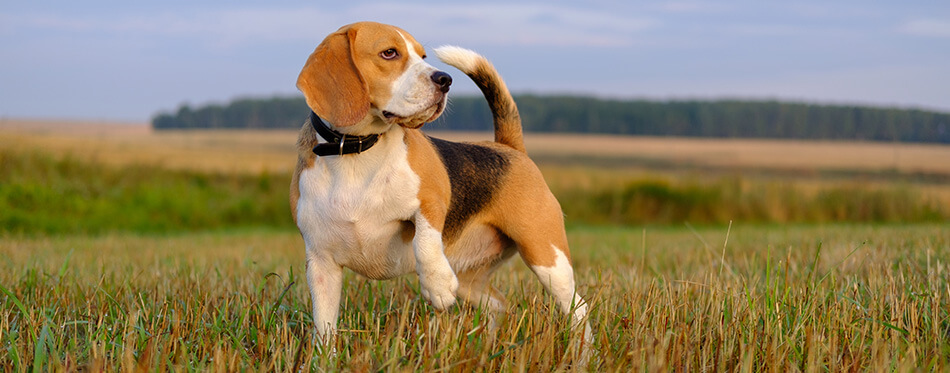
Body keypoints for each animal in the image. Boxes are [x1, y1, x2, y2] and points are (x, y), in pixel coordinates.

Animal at [290, 20, 592, 354]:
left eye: (422, 55)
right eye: (389, 53)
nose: (445, 80)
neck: (356, 152)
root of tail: (509, 147)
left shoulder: (432, 198)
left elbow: (425, 238)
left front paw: (435, 284)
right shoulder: (321, 264)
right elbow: (324, 327)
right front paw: (324, 358)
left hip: (546, 256)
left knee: (578, 307)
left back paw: (583, 355)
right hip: (470, 279)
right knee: (499, 305)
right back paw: (487, 347)